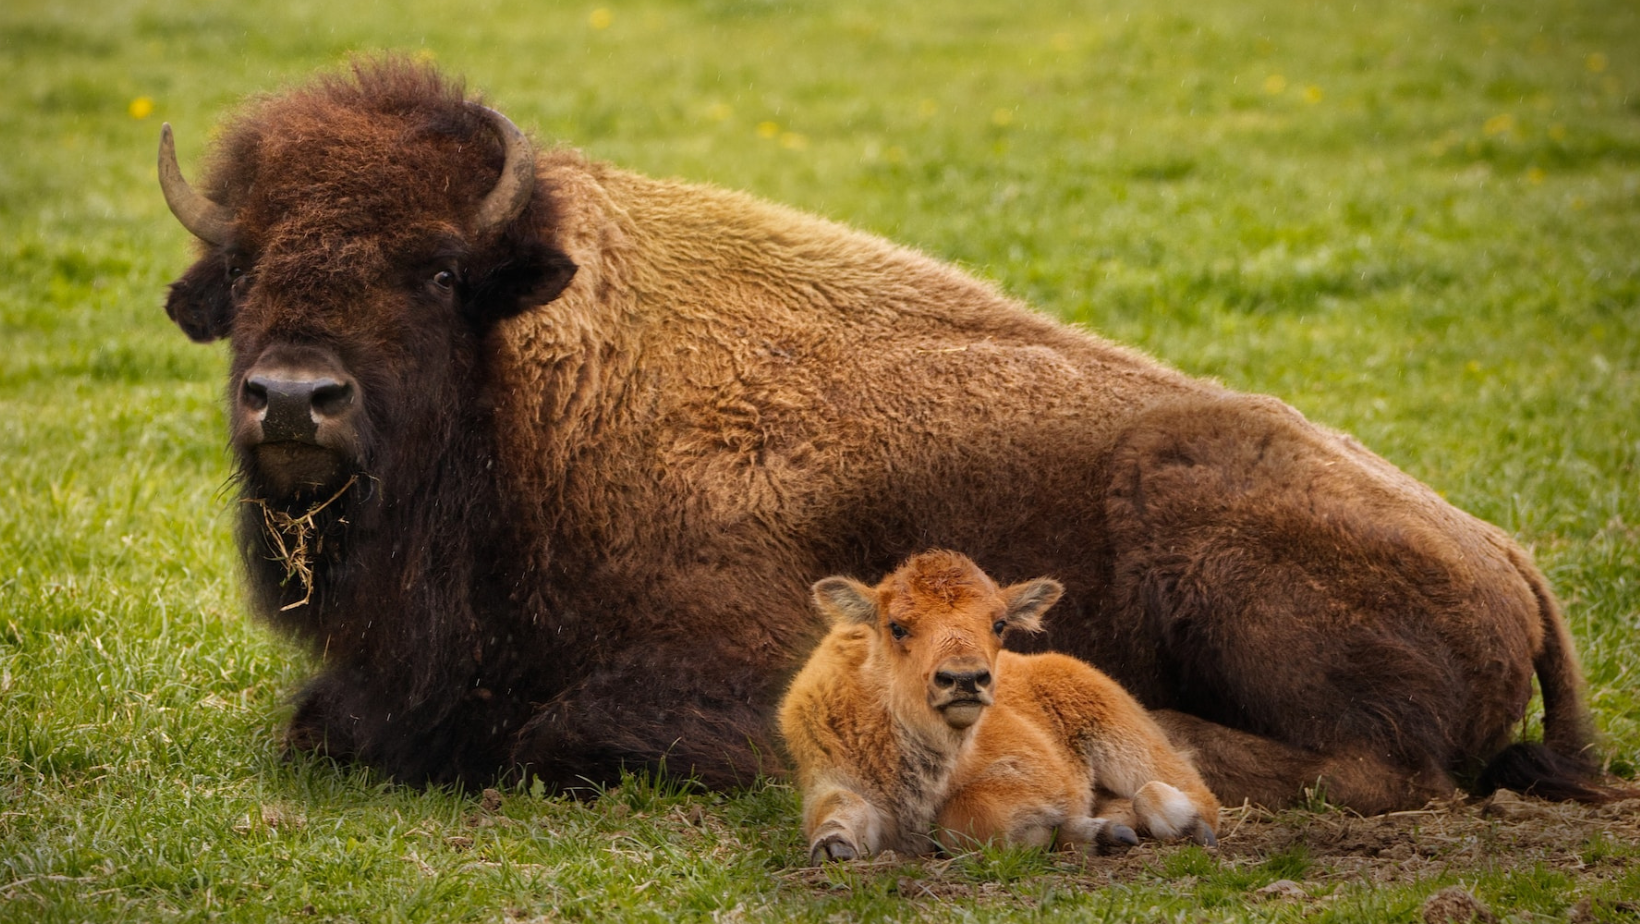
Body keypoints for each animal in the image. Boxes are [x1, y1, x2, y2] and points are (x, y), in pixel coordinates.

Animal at [163, 59, 1600, 810]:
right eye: (243, 265)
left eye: (437, 272)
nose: (292, 397)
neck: (534, 385)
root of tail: (1510, 557)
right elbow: (321, 723)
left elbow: (551, 737)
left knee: (1373, 772)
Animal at [780, 554, 1220, 866]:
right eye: (897, 626)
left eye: (999, 624)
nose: (964, 679)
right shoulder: (830, 775)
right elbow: (838, 808)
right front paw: (833, 848)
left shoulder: (1038, 775)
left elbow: (966, 814)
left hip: (1126, 743)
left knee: (1189, 793)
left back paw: (1177, 823)